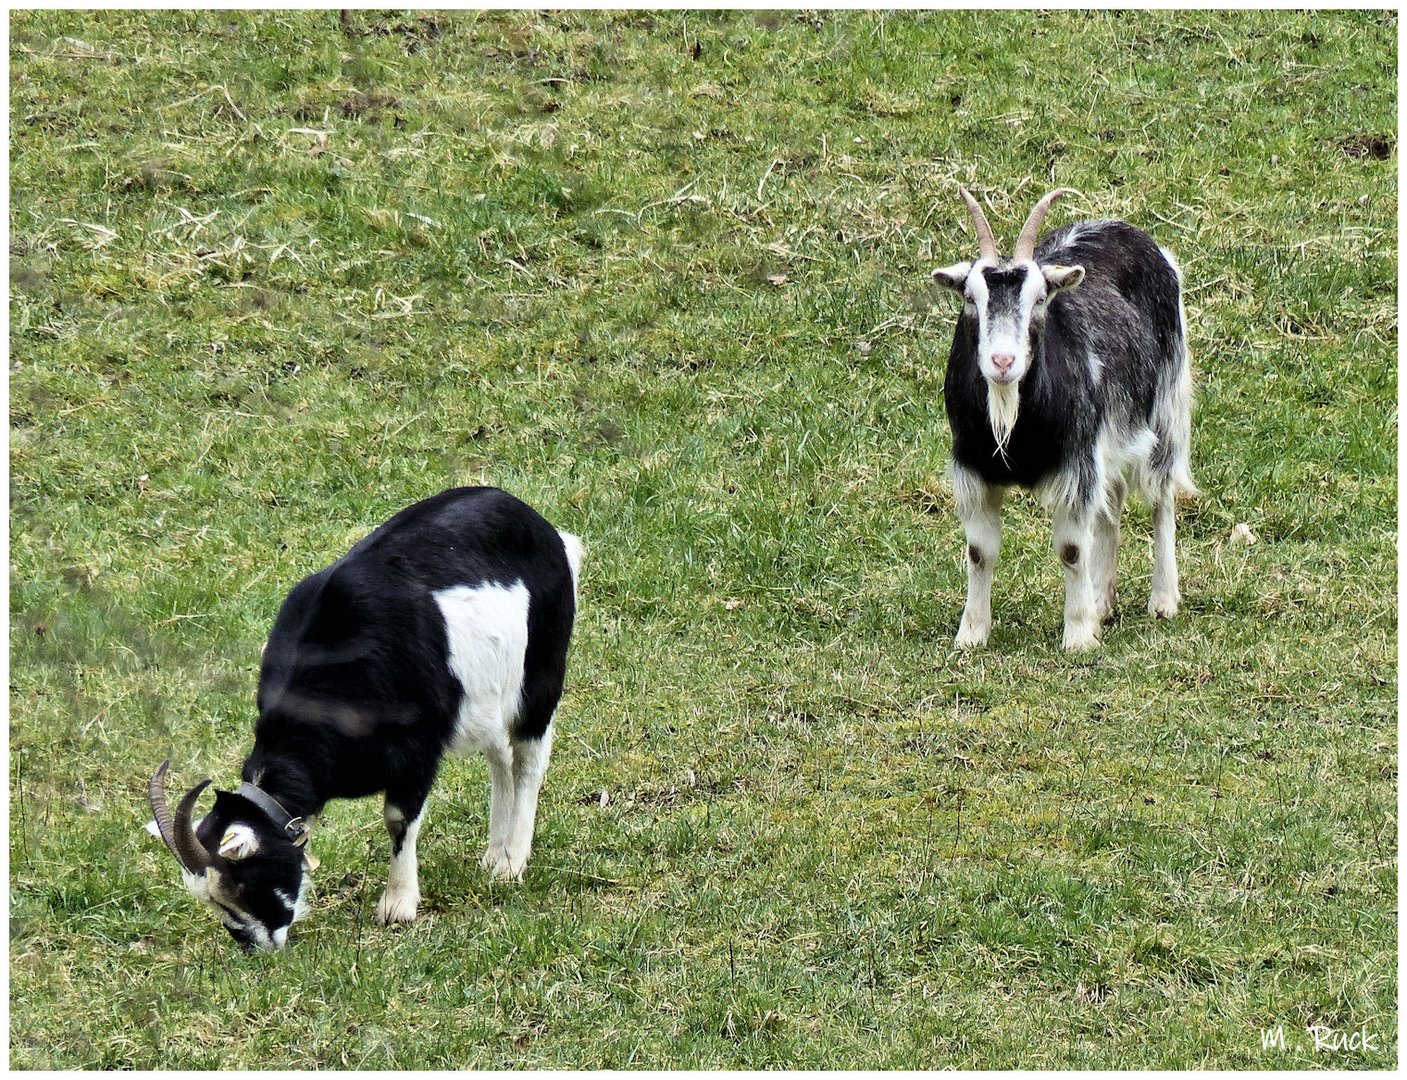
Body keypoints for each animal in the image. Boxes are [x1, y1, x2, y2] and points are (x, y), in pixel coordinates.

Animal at [145, 483, 579, 950]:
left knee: (529, 760)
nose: (256, 946)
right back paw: (494, 855)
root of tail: (541, 526)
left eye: (241, 882)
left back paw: (512, 863)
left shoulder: (419, 746)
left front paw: (397, 905)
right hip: (487, 698)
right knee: (501, 759)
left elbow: (397, 818)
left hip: (540, 672)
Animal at [928, 185, 1193, 649]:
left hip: (1165, 407)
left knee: (1160, 495)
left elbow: (1071, 550)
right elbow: (979, 553)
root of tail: (1122, 227)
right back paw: (1102, 600)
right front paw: (971, 634)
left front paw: (1079, 636)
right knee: (1112, 500)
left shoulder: (1076, 463)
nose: (1002, 361)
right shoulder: (973, 468)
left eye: (1039, 299)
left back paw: (1163, 600)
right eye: (970, 299)